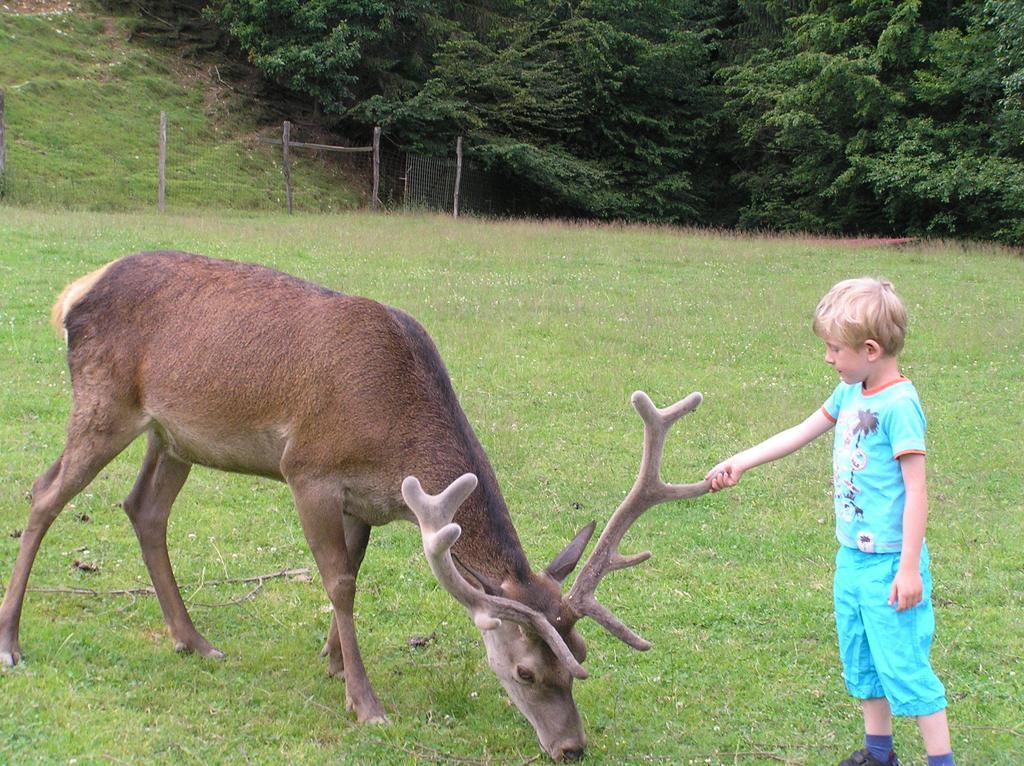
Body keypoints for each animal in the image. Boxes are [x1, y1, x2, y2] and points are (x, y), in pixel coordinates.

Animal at [0, 250, 708, 761]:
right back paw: (11, 642)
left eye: (580, 656)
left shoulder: (364, 500)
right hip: (105, 401)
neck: (391, 437)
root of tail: (75, 291)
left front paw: (333, 662)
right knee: (43, 493)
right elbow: (339, 582)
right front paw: (365, 702)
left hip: (172, 435)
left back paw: (194, 640)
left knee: (143, 508)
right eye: (527, 671)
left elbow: (354, 570)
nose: (571, 747)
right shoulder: (307, 470)